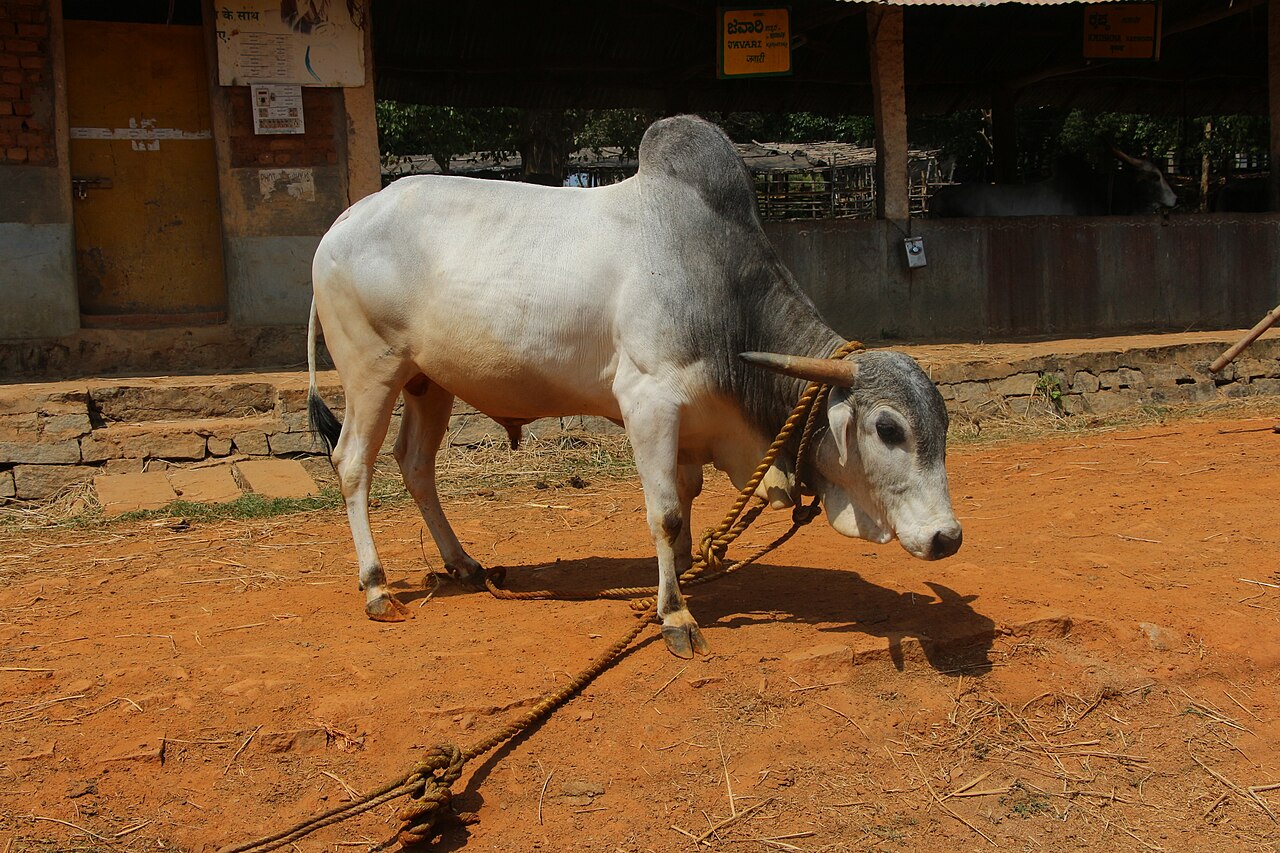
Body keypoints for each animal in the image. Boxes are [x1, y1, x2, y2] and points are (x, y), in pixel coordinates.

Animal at [306, 115, 962, 659]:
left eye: (943, 426)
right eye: (887, 429)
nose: (946, 537)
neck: (721, 290)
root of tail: (344, 220)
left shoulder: (692, 422)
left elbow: (688, 496)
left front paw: (691, 571)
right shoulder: (649, 403)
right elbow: (665, 512)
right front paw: (675, 615)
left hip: (427, 382)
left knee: (415, 464)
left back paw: (462, 564)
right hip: (371, 370)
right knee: (353, 463)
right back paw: (377, 587)